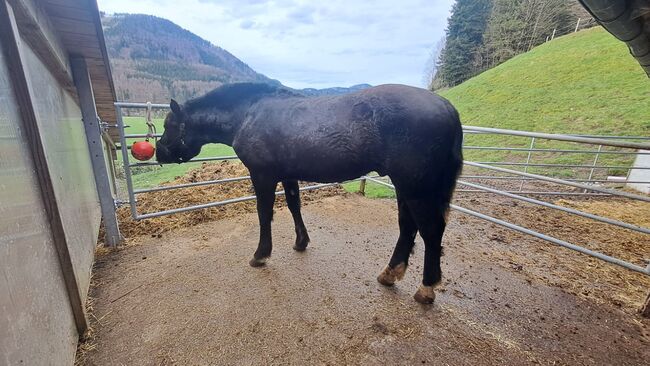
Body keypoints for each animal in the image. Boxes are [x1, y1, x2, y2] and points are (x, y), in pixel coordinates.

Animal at [156, 83, 460, 304]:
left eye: (169, 125)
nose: (159, 152)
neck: (248, 114)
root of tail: (446, 107)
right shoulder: (288, 174)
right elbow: (294, 206)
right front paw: (301, 242)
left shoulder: (263, 176)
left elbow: (264, 214)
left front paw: (261, 254)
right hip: (406, 187)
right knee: (408, 227)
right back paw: (390, 273)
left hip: (416, 187)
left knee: (430, 231)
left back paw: (426, 288)